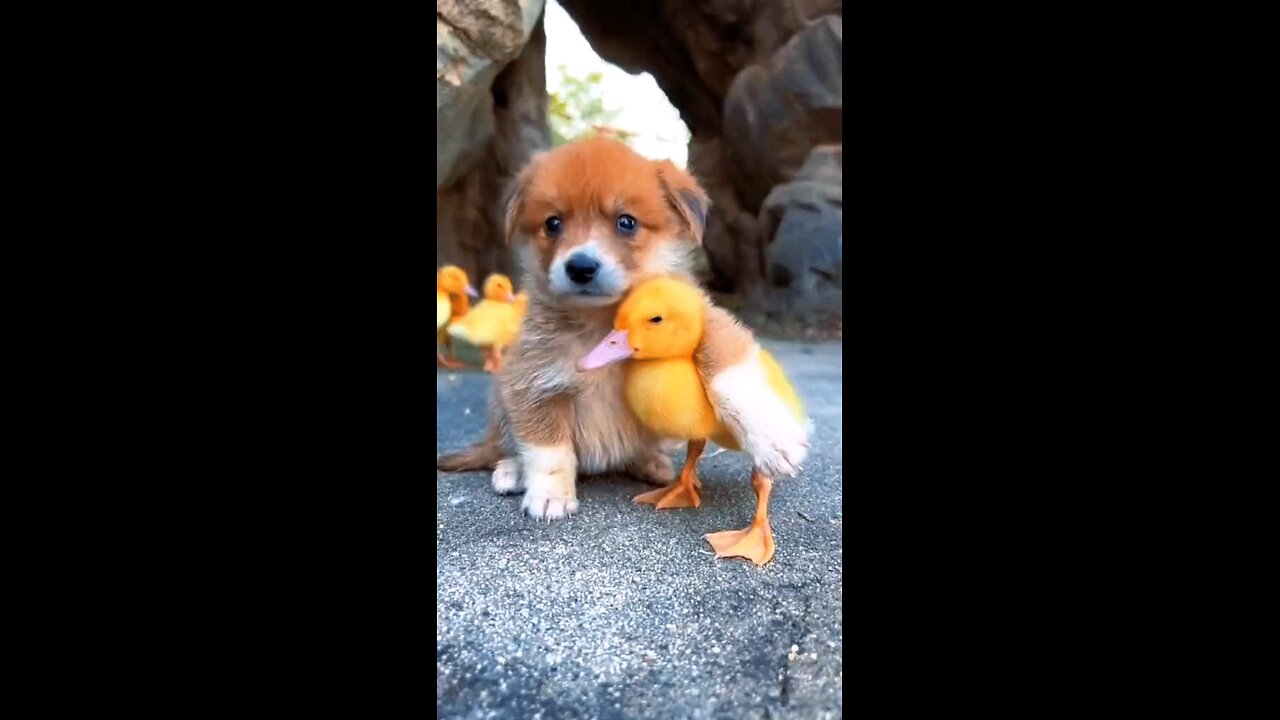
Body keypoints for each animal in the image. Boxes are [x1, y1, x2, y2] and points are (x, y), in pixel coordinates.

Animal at [435, 134, 803, 517]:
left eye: (626, 222)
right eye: (553, 223)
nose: (580, 267)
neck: (602, 322)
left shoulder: (708, 319)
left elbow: (729, 372)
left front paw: (773, 439)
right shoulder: (532, 383)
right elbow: (548, 449)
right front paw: (550, 494)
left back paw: (651, 463)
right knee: (504, 447)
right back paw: (511, 470)